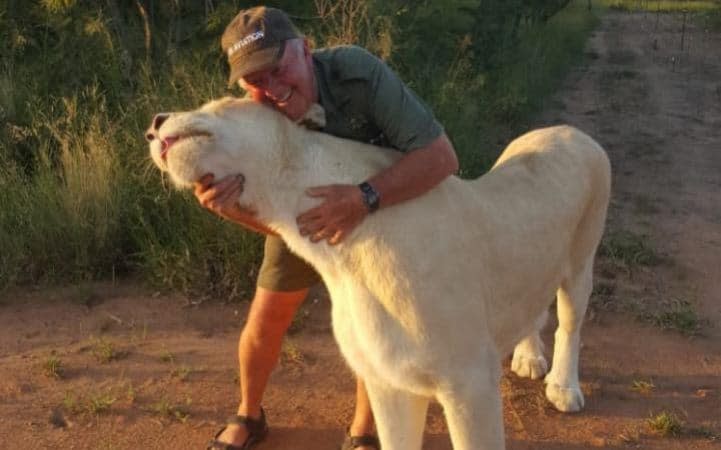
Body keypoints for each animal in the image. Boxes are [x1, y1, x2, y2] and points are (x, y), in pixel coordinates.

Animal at [145, 98, 608, 450]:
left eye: (218, 101)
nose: (153, 124)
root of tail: (568, 129)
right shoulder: (390, 380)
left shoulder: (469, 383)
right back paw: (529, 357)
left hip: (582, 257)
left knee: (571, 321)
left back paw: (564, 388)